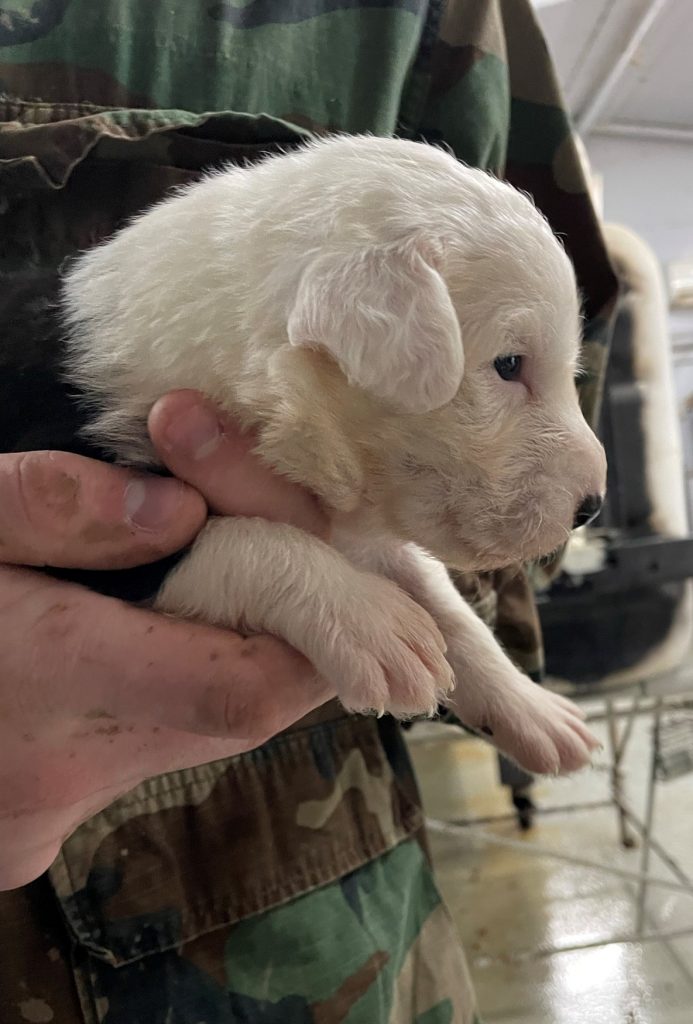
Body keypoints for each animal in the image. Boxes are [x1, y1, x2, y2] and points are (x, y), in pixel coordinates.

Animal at [63, 138, 605, 774]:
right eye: (509, 364)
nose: (592, 506)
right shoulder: (104, 538)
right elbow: (224, 539)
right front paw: (372, 623)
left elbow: (442, 598)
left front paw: (532, 709)